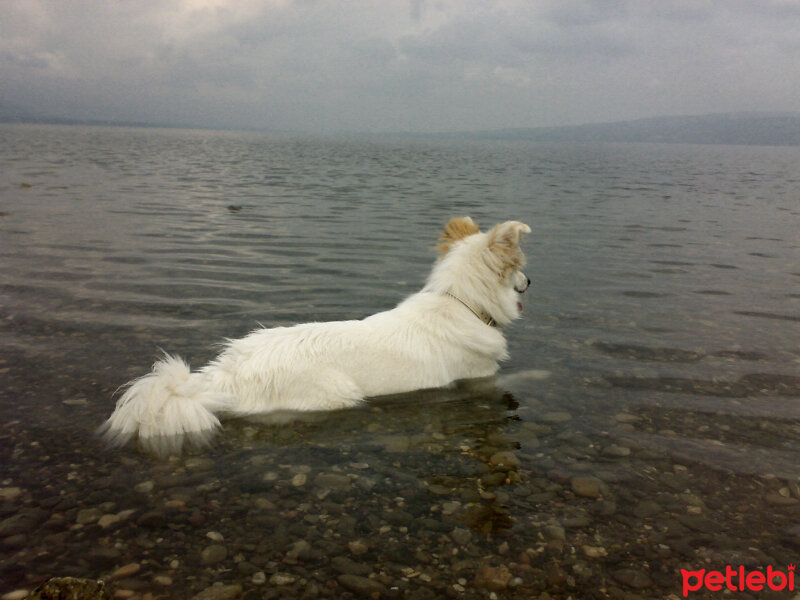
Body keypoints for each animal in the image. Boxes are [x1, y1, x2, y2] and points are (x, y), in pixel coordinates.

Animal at [100, 217, 532, 454]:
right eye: (519, 269)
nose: (530, 282)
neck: (461, 302)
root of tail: (220, 378)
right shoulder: (479, 378)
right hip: (338, 393)